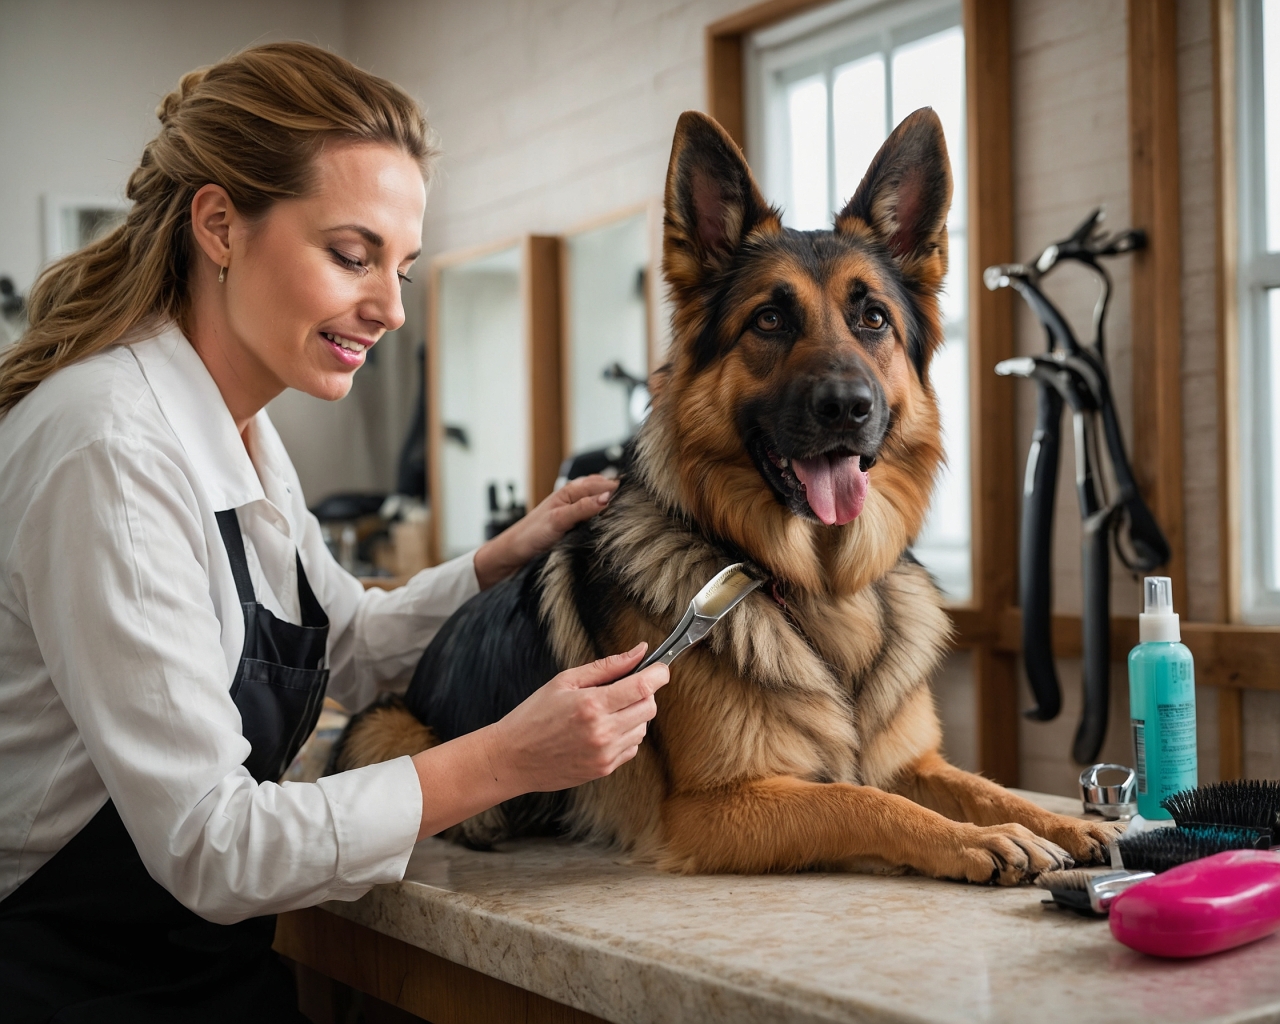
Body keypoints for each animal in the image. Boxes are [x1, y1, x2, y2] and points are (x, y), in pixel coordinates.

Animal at [332, 110, 1121, 880]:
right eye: (769, 320)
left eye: (873, 319)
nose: (849, 407)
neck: (815, 586)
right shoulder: (715, 806)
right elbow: (864, 801)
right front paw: (978, 841)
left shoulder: (913, 761)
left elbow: (982, 787)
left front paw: (1059, 822)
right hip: (383, 724)